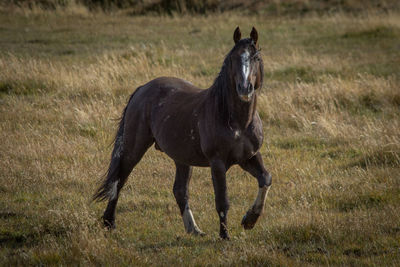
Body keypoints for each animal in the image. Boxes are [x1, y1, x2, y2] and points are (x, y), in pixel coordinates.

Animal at [94, 27, 272, 241]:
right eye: (233, 58)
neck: (237, 122)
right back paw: (109, 222)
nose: (244, 88)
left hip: (182, 158)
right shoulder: (218, 163)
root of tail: (142, 89)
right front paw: (224, 236)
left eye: (256, 57)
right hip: (133, 148)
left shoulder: (249, 157)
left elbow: (265, 179)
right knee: (119, 180)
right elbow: (222, 200)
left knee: (180, 190)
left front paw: (250, 220)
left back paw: (194, 229)